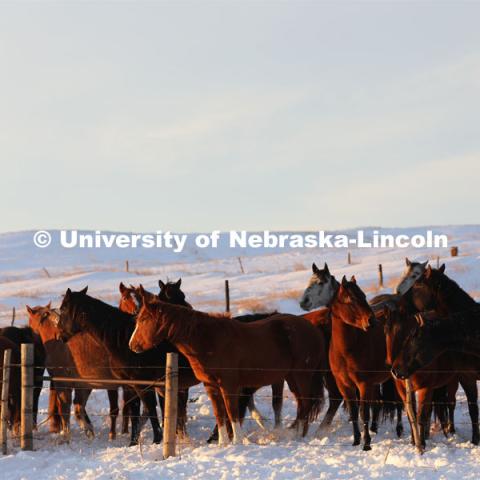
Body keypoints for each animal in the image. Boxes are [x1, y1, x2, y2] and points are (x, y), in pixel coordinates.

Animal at [129, 286, 328, 444]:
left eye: (144, 319)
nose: (132, 345)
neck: (208, 340)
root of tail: (313, 329)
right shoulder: (210, 386)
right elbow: (220, 415)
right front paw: (223, 443)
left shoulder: (229, 385)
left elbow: (232, 412)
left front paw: (237, 441)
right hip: (291, 377)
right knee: (301, 404)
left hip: (302, 376)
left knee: (305, 404)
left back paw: (297, 437)